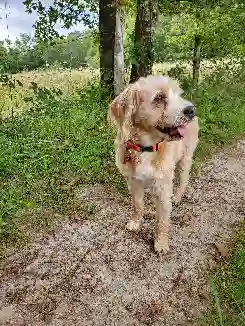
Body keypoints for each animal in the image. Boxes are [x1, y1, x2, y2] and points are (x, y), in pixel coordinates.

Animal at [107, 75, 199, 253]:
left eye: (178, 94)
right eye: (159, 98)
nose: (191, 110)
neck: (146, 148)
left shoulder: (163, 186)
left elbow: (162, 220)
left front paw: (161, 243)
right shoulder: (133, 181)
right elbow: (137, 205)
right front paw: (135, 222)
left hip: (185, 160)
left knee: (183, 181)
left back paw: (177, 197)